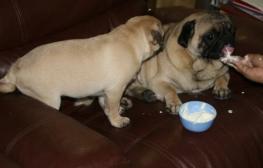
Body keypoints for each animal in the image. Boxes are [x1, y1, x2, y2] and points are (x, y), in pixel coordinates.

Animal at [0, 16, 164, 129]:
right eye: (162, 33)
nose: (162, 42)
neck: (131, 37)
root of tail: (14, 69)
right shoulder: (115, 90)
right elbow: (111, 107)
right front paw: (117, 120)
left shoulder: (105, 91)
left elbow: (104, 103)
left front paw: (115, 109)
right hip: (51, 99)